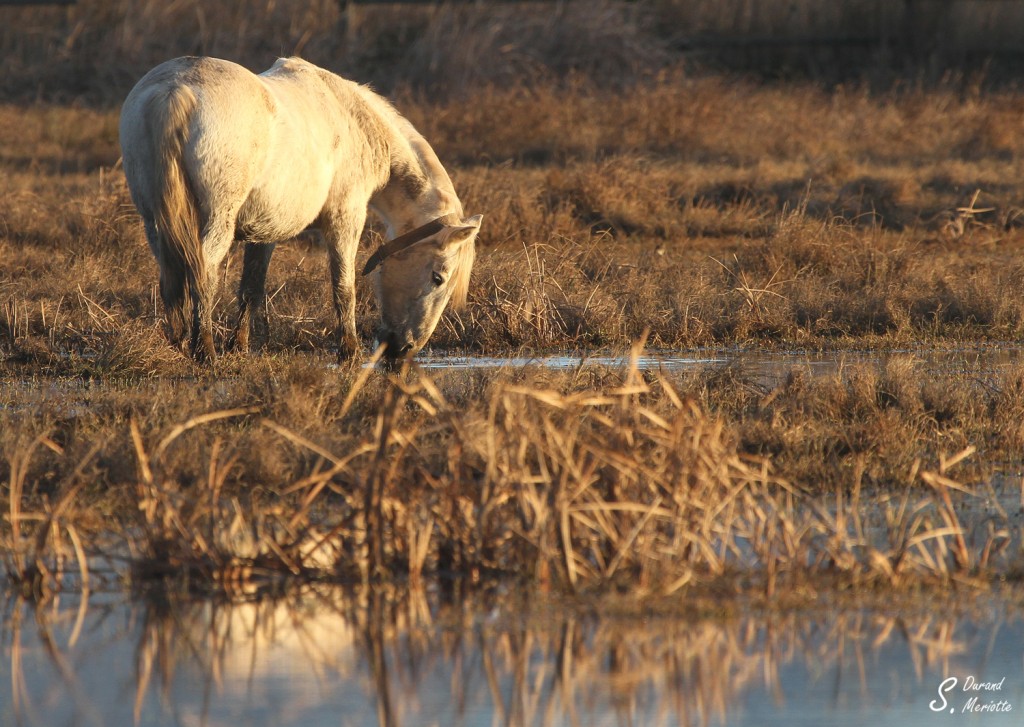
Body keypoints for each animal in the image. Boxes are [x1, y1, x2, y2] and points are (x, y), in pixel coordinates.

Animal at [118, 56, 481, 363]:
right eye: (438, 278)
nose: (404, 349)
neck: (354, 120)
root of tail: (175, 91)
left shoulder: (263, 232)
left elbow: (251, 288)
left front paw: (239, 346)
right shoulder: (345, 218)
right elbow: (344, 286)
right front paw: (349, 352)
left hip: (155, 222)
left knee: (172, 273)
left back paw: (183, 341)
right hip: (217, 220)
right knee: (202, 271)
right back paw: (205, 350)